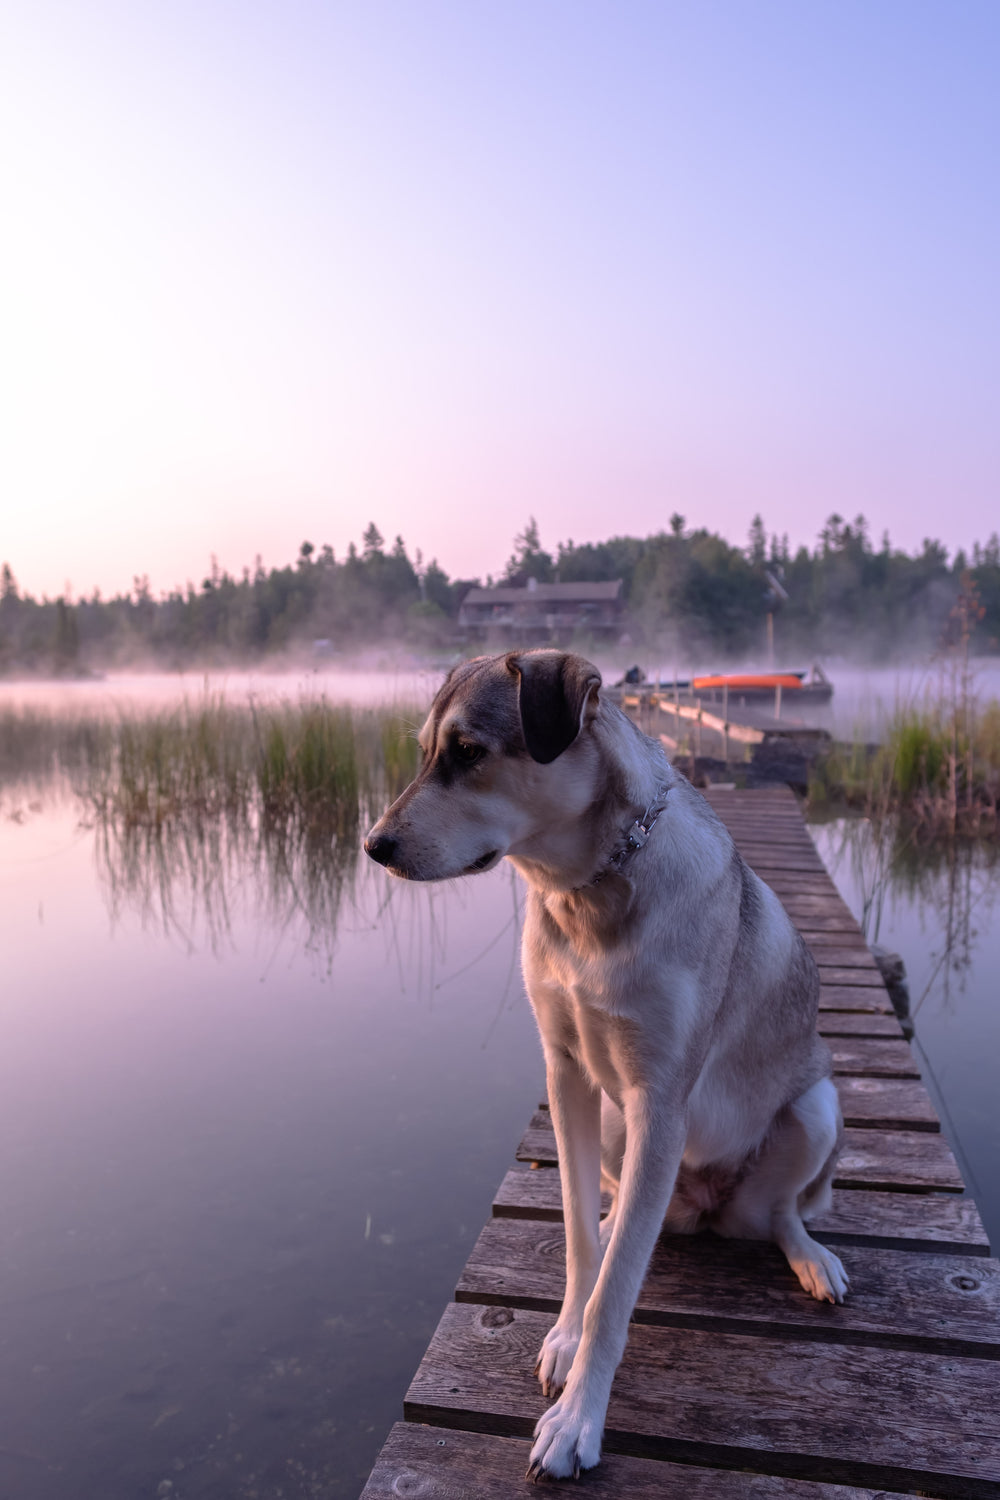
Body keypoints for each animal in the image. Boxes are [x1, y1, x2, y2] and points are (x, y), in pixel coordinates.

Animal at [364, 651, 851, 1482]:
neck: (583, 897)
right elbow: (581, 1244)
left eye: (468, 752)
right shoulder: (569, 1076)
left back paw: (808, 1255)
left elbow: (616, 1288)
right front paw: (566, 1331)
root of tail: (707, 1206)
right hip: (623, 1133)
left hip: (813, 1109)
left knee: (780, 1213)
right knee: (625, 1209)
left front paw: (578, 1421)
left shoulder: (658, 1100)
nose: (374, 845)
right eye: (427, 751)